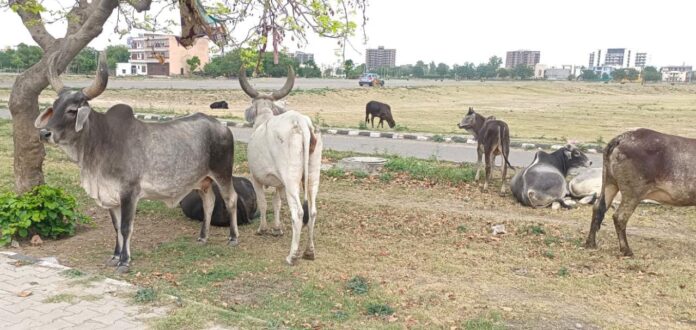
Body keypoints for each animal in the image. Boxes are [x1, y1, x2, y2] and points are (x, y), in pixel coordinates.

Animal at [34, 52, 239, 272]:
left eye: (72, 110)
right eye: (54, 107)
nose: (44, 133)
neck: (101, 142)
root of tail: (222, 126)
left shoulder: (129, 193)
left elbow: (126, 227)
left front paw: (124, 261)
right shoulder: (110, 195)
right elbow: (116, 227)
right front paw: (115, 255)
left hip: (222, 173)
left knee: (230, 199)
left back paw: (233, 238)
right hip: (203, 181)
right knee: (209, 203)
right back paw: (203, 237)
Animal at [239, 67, 324, 266]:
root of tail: (301, 122)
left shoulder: (256, 178)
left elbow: (263, 203)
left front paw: (263, 229)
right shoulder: (280, 184)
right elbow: (277, 203)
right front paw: (277, 229)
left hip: (291, 179)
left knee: (299, 213)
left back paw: (292, 255)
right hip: (312, 176)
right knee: (312, 211)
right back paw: (309, 251)